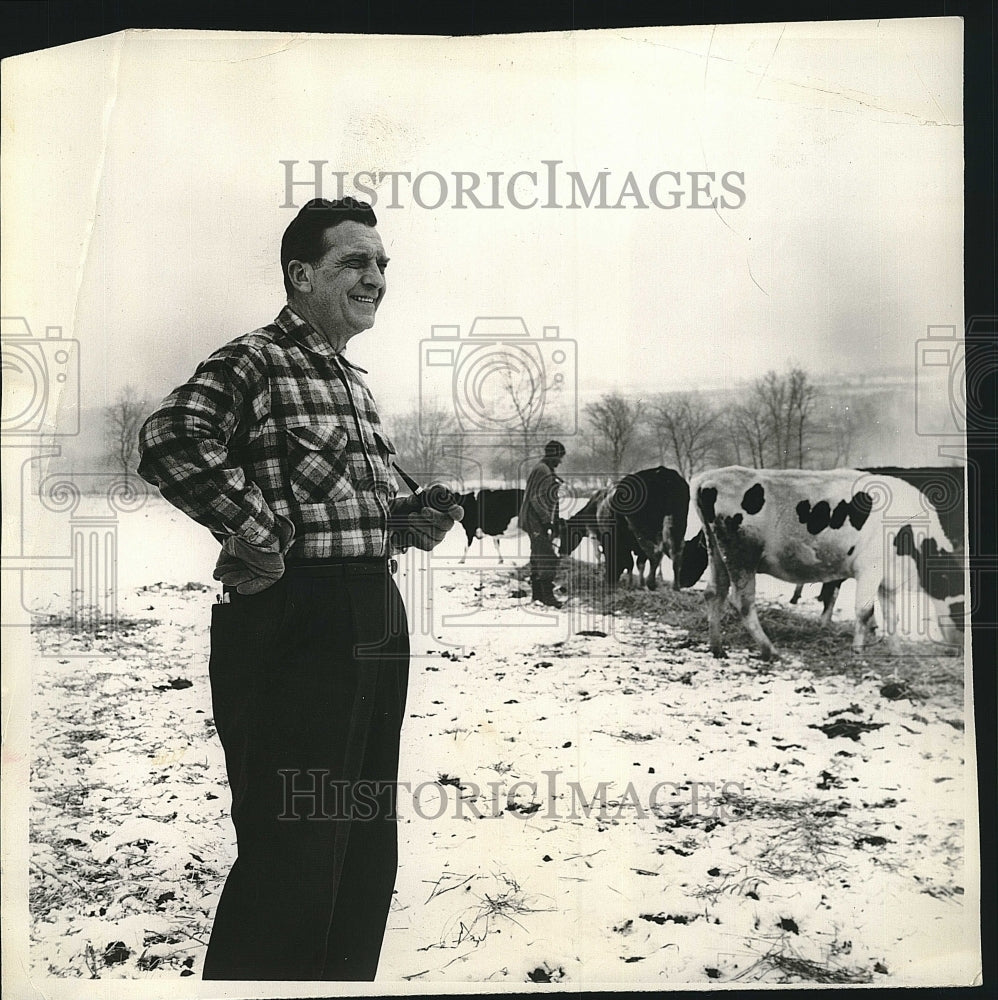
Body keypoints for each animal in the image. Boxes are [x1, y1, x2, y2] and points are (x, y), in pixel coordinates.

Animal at [692, 466, 964, 660]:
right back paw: (770, 650)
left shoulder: (887, 578)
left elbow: (891, 616)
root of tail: (708, 477)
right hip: (742, 556)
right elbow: (865, 611)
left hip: (717, 552)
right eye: (962, 609)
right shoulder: (869, 568)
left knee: (714, 592)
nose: (959, 651)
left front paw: (896, 652)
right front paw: (858, 652)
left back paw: (717, 648)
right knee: (742, 602)